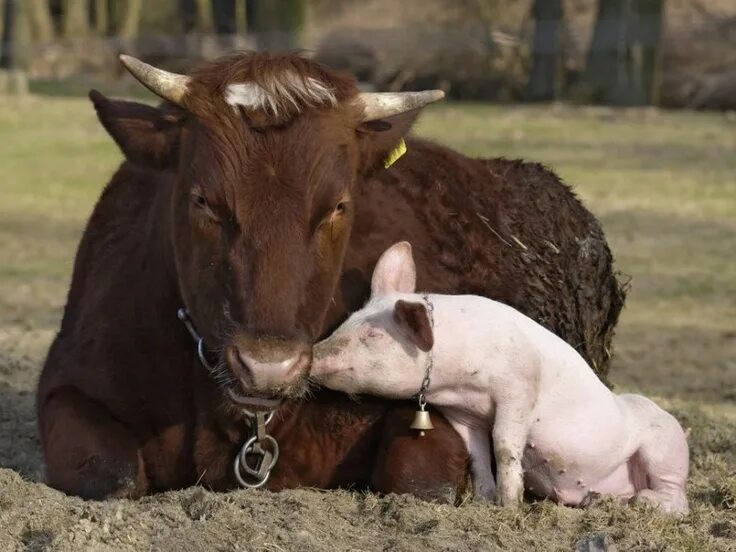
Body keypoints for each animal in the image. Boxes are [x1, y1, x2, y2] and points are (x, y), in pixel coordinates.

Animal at [37, 51, 624, 500]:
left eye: (338, 205)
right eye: (202, 200)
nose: (267, 365)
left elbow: (420, 481)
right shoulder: (67, 385)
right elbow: (111, 476)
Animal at [312, 244, 688, 516]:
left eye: (374, 335)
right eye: (347, 320)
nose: (312, 354)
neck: (458, 385)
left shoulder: (518, 388)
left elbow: (505, 445)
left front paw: (509, 506)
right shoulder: (463, 416)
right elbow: (477, 454)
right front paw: (484, 502)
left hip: (665, 448)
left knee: (678, 500)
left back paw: (643, 502)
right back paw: (600, 501)